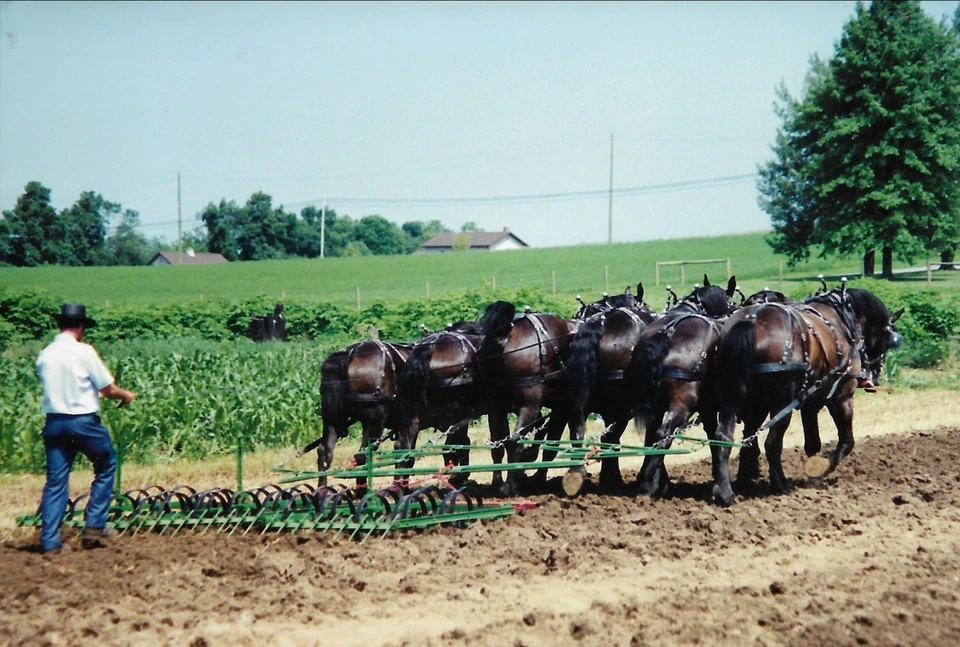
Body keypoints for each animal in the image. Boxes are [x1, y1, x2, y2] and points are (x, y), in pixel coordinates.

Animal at [393, 301, 517, 488]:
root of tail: (429, 349)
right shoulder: (494, 409)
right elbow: (497, 443)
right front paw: (496, 481)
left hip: (413, 413)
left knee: (404, 448)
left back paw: (401, 487)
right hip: (453, 413)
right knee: (453, 446)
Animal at [612, 275, 738, 498]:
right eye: (731, 304)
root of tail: (668, 332)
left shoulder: (704, 408)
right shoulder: (706, 407)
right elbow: (715, 438)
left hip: (654, 405)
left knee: (652, 436)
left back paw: (650, 483)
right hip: (682, 404)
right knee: (664, 434)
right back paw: (648, 487)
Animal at [711, 285, 903, 506]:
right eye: (887, 340)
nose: (873, 379)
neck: (843, 319)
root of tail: (749, 320)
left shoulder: (810, 404)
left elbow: (812, 443)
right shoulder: (841, 398)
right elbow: (846, 441)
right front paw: (822, 469)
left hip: (740, 401)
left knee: (725, 438)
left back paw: (726, 490)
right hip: (780, 403)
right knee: (772, 443)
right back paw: (781, 485)